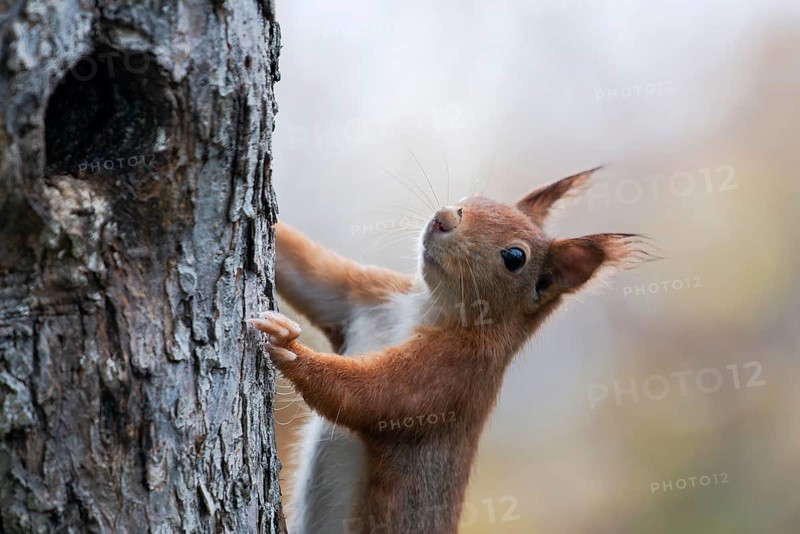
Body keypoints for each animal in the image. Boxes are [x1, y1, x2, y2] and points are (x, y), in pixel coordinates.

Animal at [250, 168, 649, 534]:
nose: (442, 218)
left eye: (515, 257)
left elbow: (368, 394)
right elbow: (309, 273)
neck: (428, 306)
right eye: (471, 200)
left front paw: (289, 346)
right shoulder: (369, 297)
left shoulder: (452, 373)